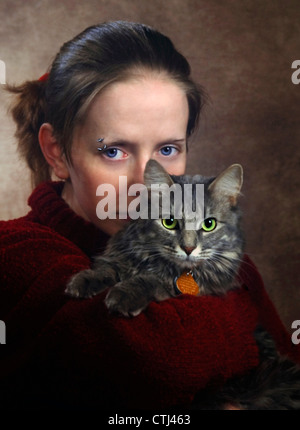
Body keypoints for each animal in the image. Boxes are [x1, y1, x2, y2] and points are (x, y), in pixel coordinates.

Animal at [66, 160, 300, 410]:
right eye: (169, 222)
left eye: (209, 225)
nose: (188, 248)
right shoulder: (121, 257)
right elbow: (107, 270)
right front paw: (83, 281)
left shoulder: (188, 290)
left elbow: (150, 281)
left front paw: (123, 295)